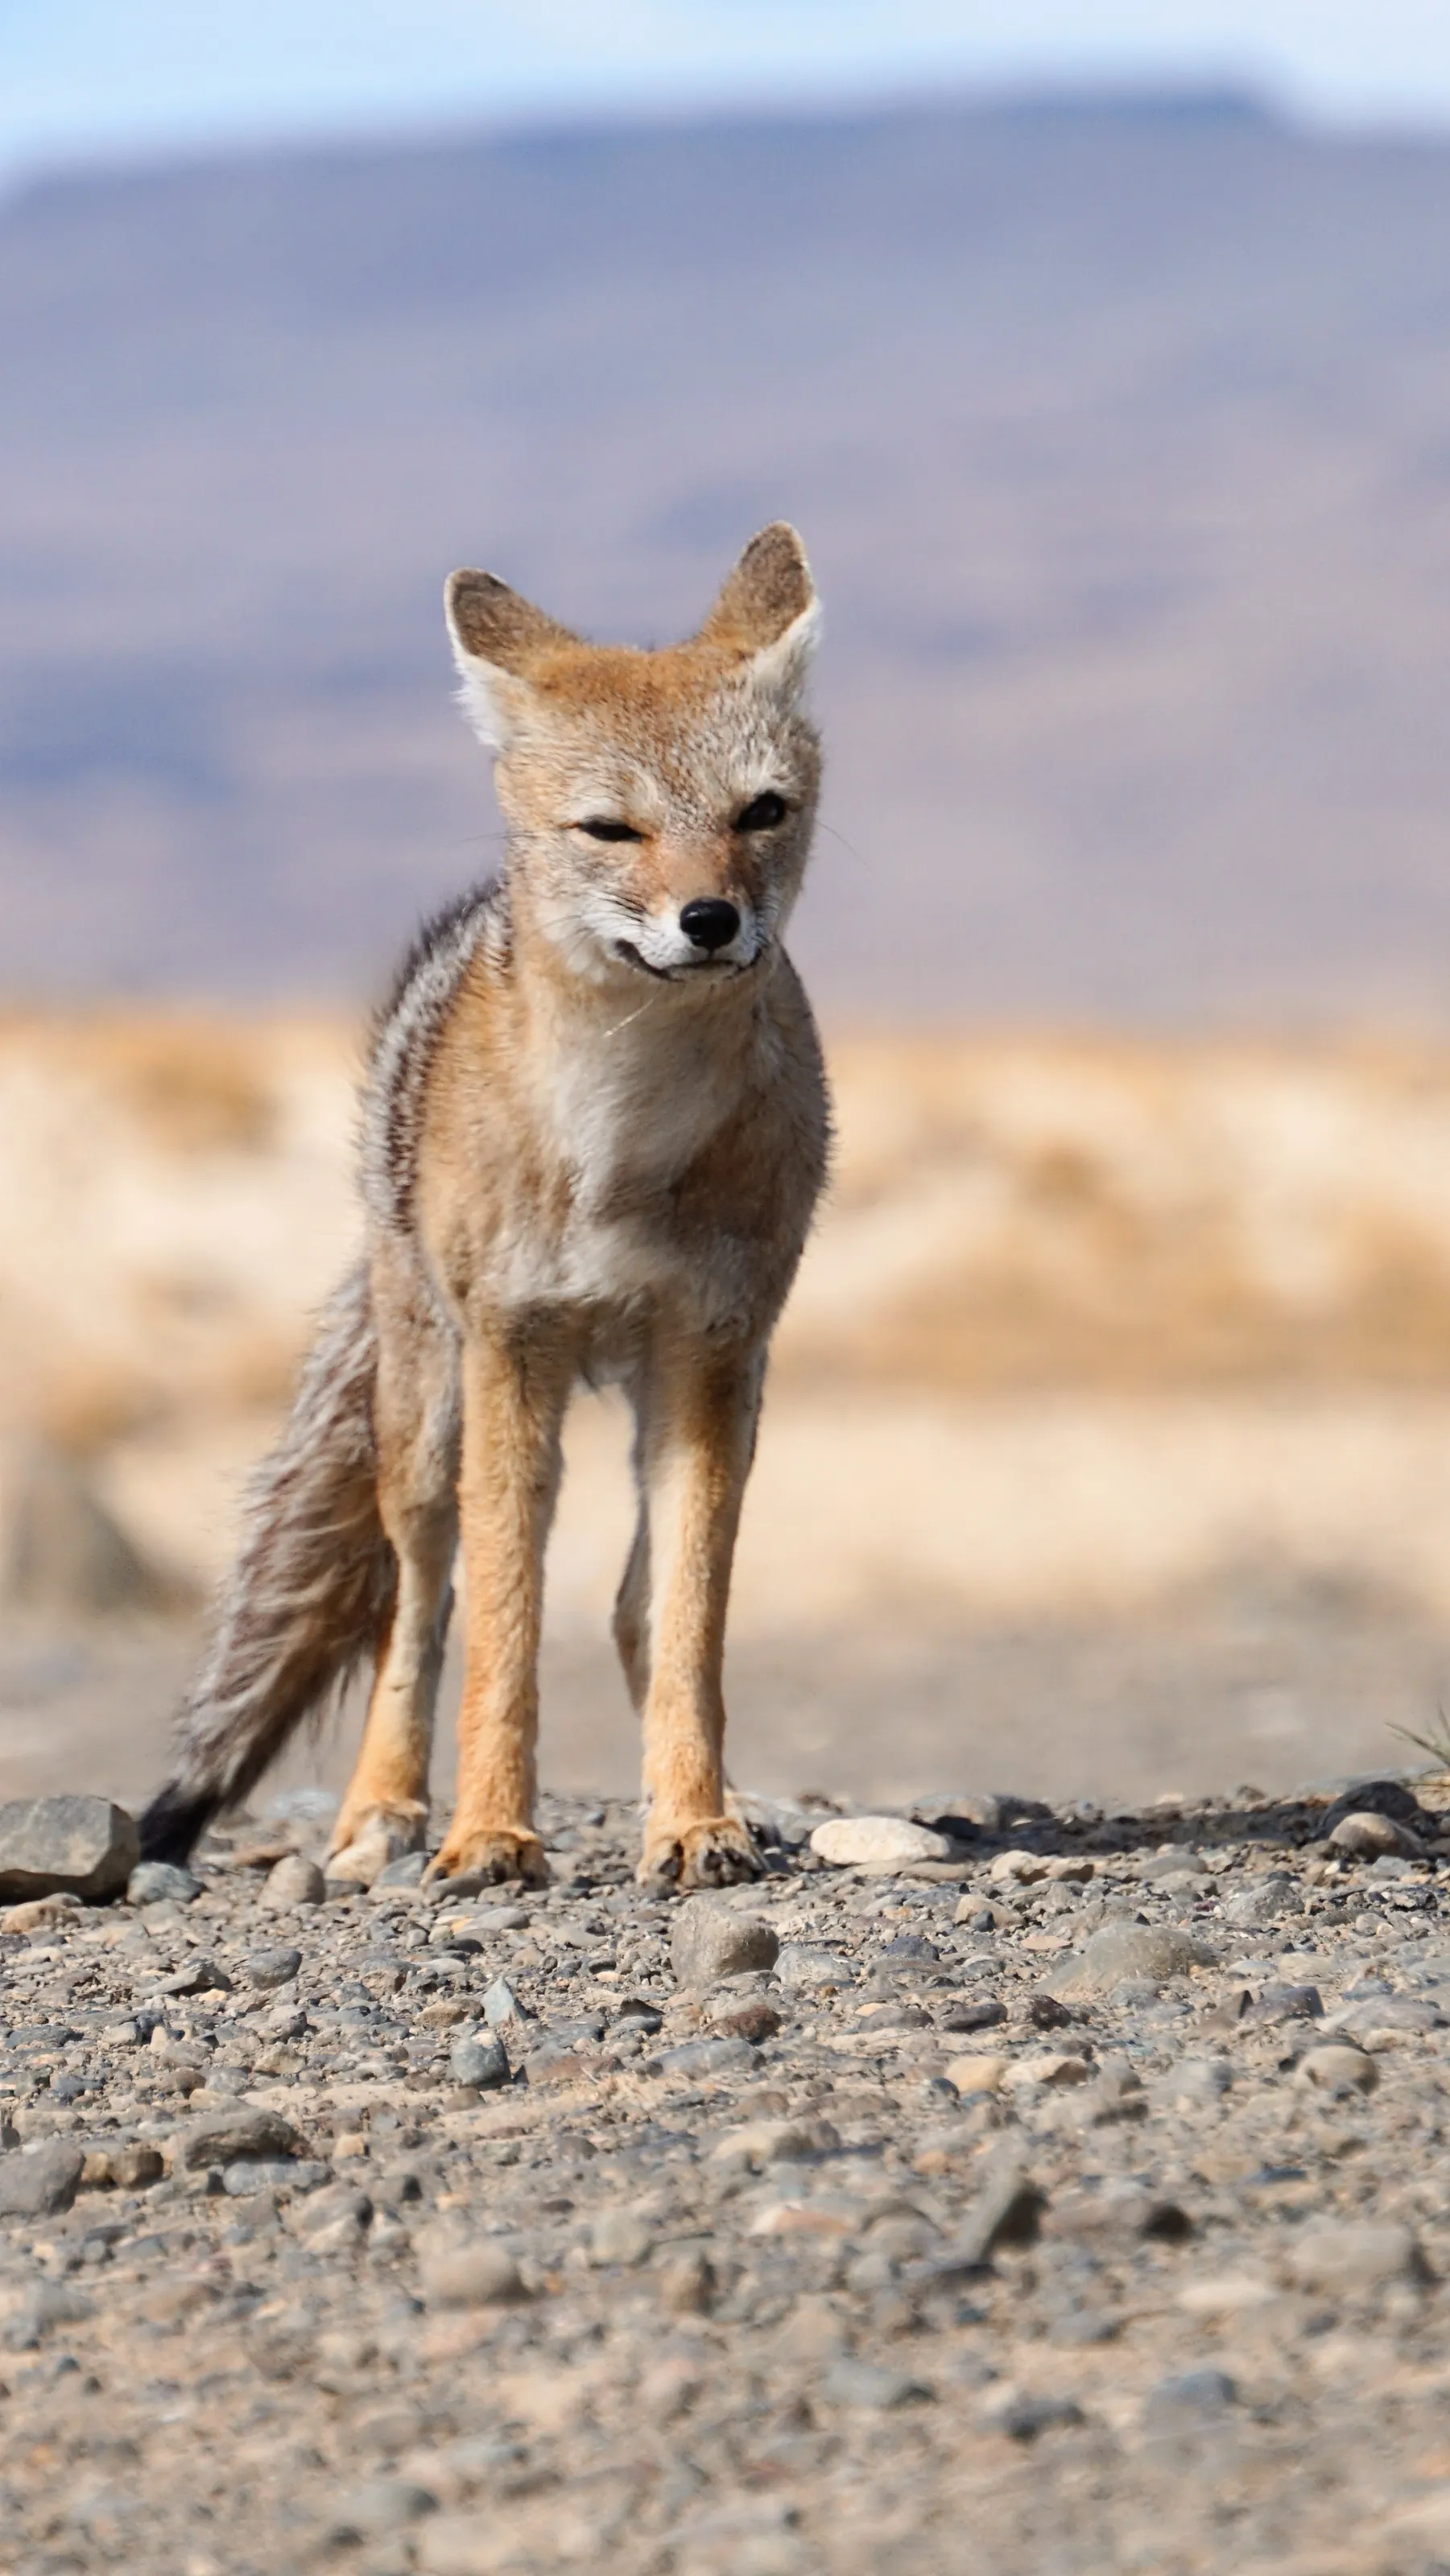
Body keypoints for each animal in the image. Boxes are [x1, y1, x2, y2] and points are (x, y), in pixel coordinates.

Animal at [139, 523, 830, 1892]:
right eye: (611, 829)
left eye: (759, 813)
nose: (711, 919)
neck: (626, 1138)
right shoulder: (514, 1346)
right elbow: (504, 1621)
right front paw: (492, 1835)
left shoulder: (712, 1349)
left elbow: (687, 1620)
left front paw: (693, 1819)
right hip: (425, 1418)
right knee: (422, 1601)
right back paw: (382, 1812)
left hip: (701, 1400)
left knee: (632, 1604)